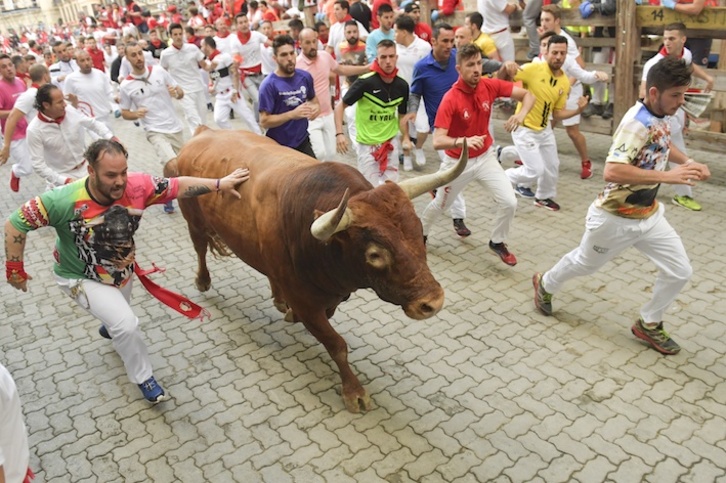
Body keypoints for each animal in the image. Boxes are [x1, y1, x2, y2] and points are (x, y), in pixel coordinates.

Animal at [179, 130, 470, 414]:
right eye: (375, 254)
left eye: (419, 232)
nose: (433, 302)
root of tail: (202, 134)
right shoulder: (307, 303)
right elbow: (336, 345)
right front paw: (354, 392)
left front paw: (289, 313)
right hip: (193, 220)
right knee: (200, 248)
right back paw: (203, 281)